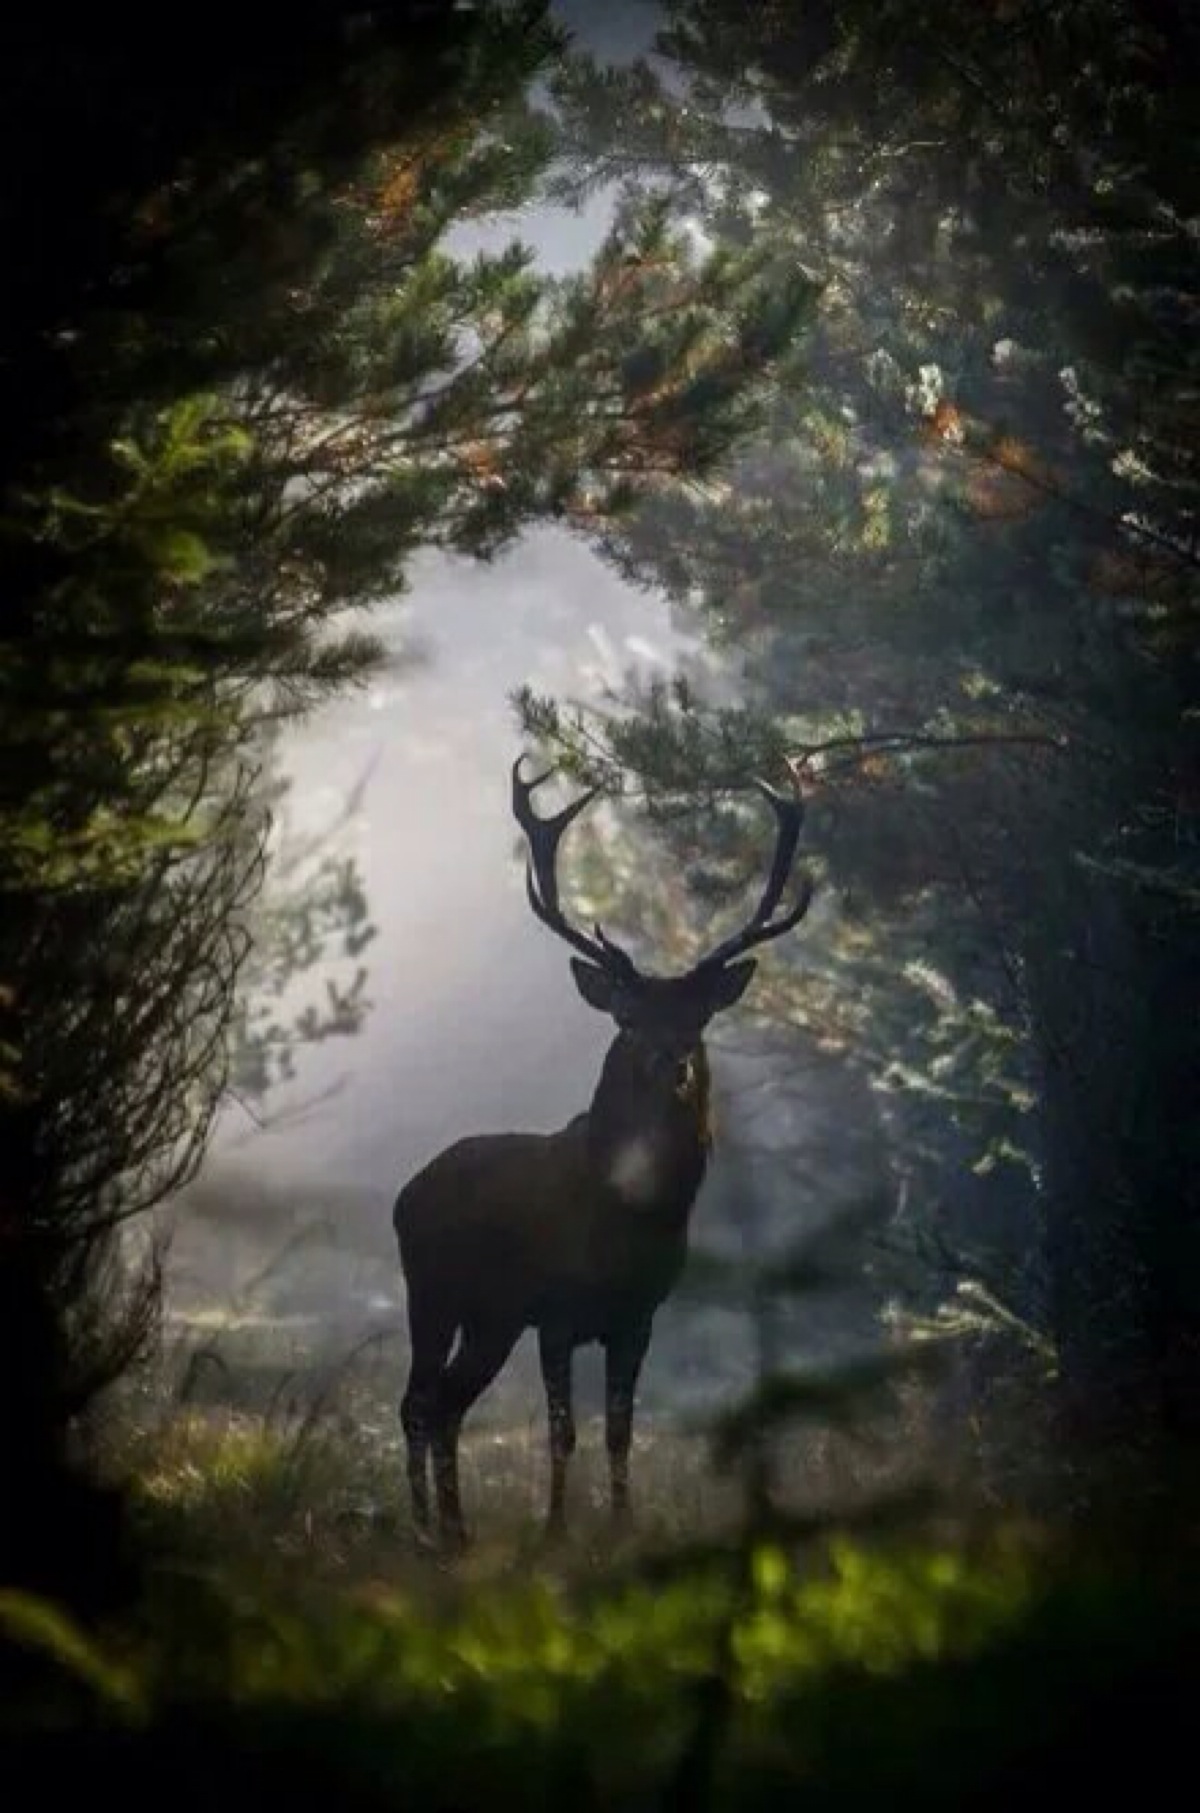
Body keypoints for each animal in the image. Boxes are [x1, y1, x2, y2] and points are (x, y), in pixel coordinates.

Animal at [398, 757, 812, 1551]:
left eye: (697, 1017)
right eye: (627, 1014)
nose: (670, 1063)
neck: (628, 1216)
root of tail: (406, 1192)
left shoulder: (639, 1314)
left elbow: (620, 1430)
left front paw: (624, 1523)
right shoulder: (555, 1307)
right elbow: (563, 1430)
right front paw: (556, 1529)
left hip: (490, 1317)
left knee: (446, 1404)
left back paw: (457, 1530)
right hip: (431, 1290)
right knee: (417, 1401)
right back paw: (428, 1529)